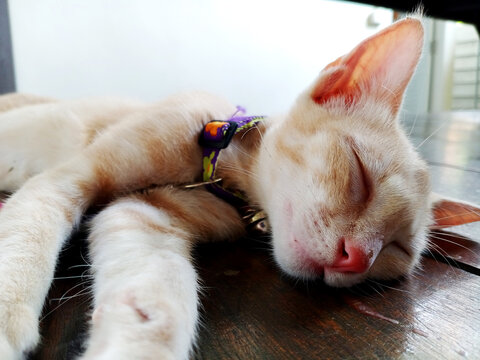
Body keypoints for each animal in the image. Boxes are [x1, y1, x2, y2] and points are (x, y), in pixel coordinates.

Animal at [0, 16, 480, 360]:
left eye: (396, 249)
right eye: (360, 176)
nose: (356, 256)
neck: (222, 172)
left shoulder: (144, 215)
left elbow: (158, 294)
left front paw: (134, 348)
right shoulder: (68, 179)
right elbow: (27, 230)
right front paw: (5, 324)